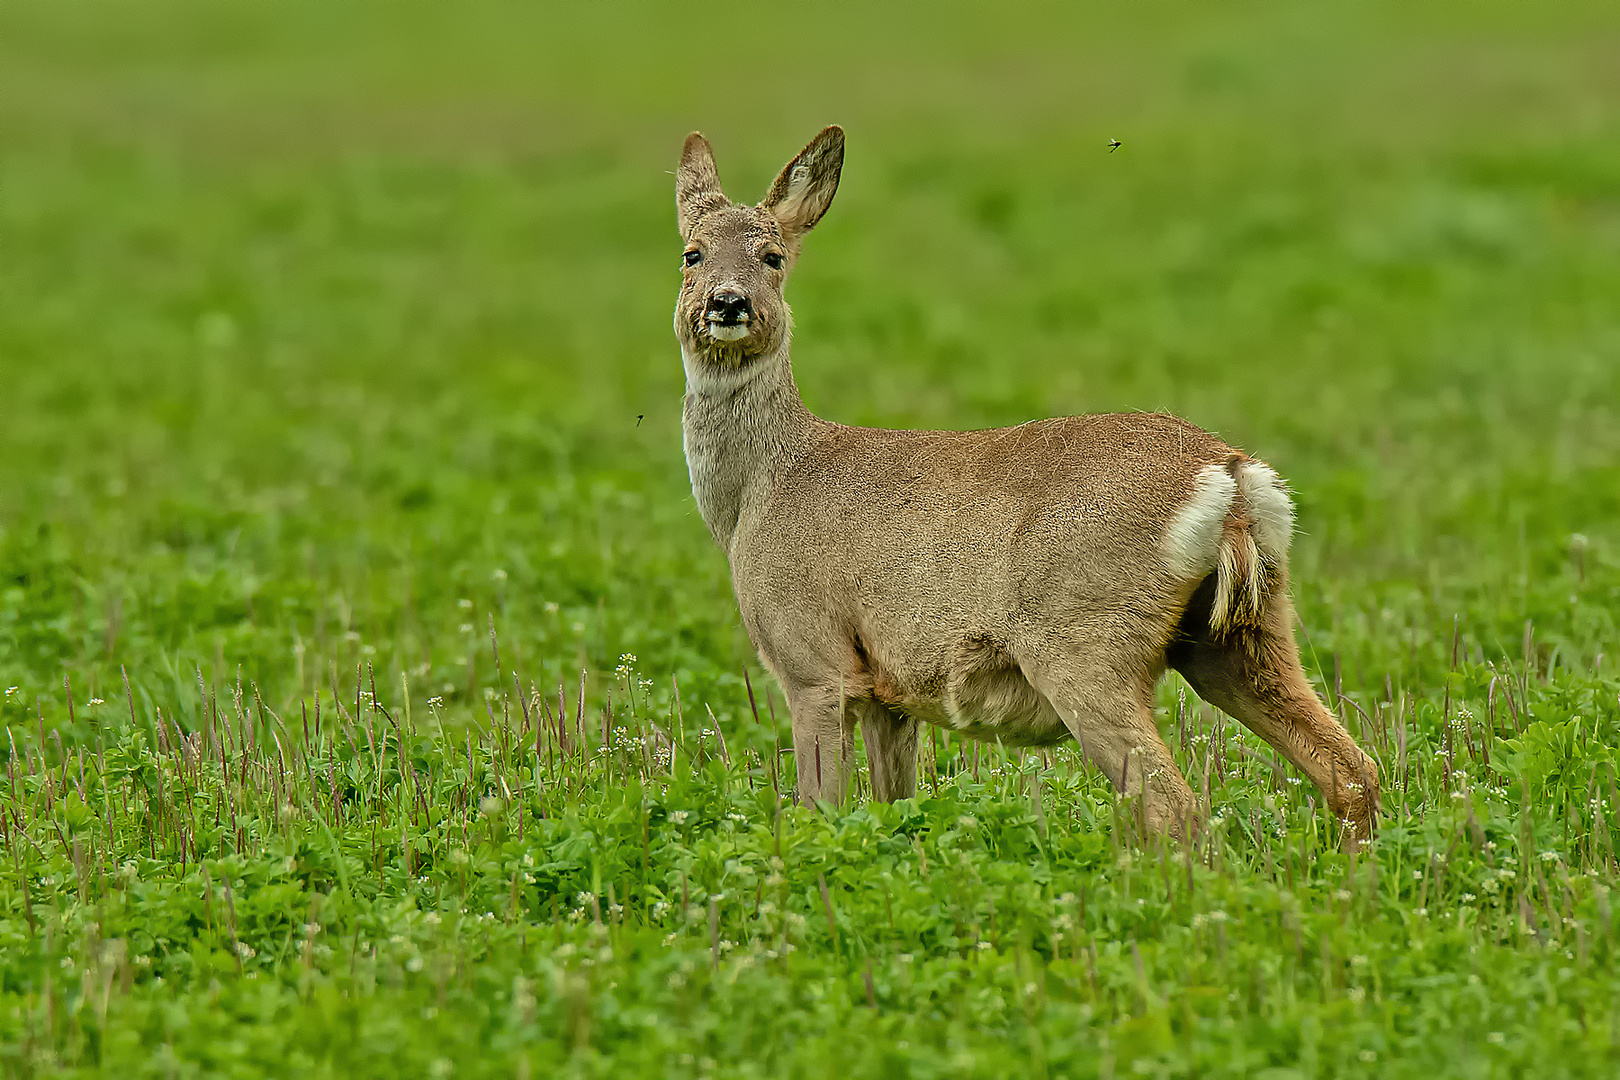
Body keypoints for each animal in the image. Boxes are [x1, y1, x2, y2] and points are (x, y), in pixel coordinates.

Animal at [670, 124, 1380, 835]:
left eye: (773, 257)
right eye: (691, 254)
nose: (727, 303)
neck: (760, 488)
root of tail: (1231, 476)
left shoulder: (813, 659)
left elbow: (819, 810)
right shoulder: (887, 690)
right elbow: (894, 804)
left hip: (1084, 644)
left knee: (1175, 804)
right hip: (1242, 631)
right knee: (1351, 769)